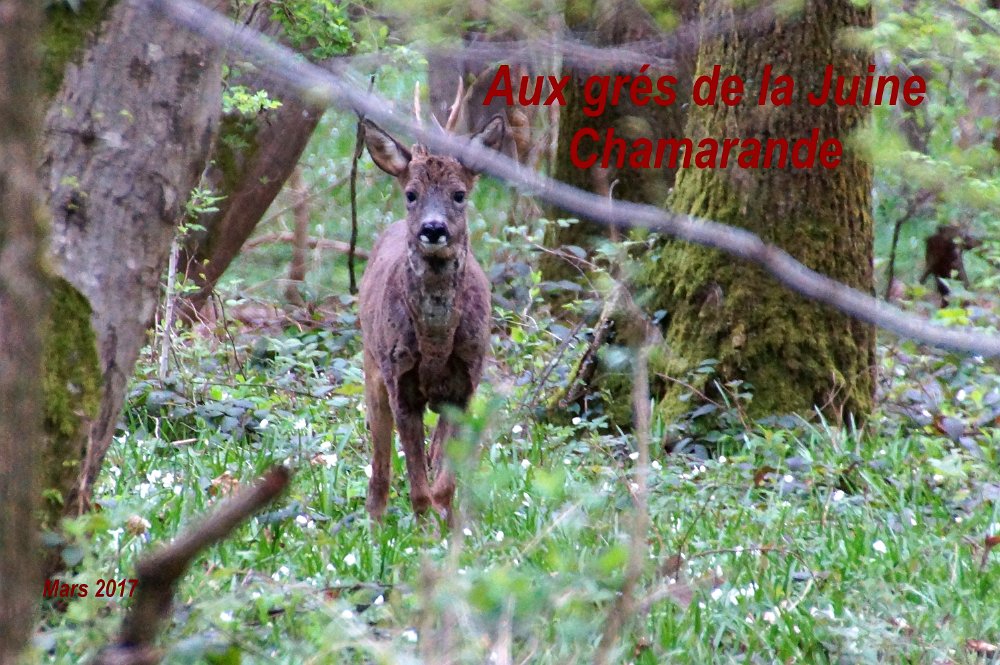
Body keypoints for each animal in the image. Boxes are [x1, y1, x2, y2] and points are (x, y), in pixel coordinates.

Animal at [356, 98, 504, 524]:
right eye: (411, 193)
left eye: (459, 194)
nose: (433, 229)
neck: (436, 343)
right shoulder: (400, 381)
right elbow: (419, 489)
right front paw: (424, 527)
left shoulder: (467, 382)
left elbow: (445, 484)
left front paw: (445, 524)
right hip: (372, 364)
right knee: (380, 466)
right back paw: (375, 522)